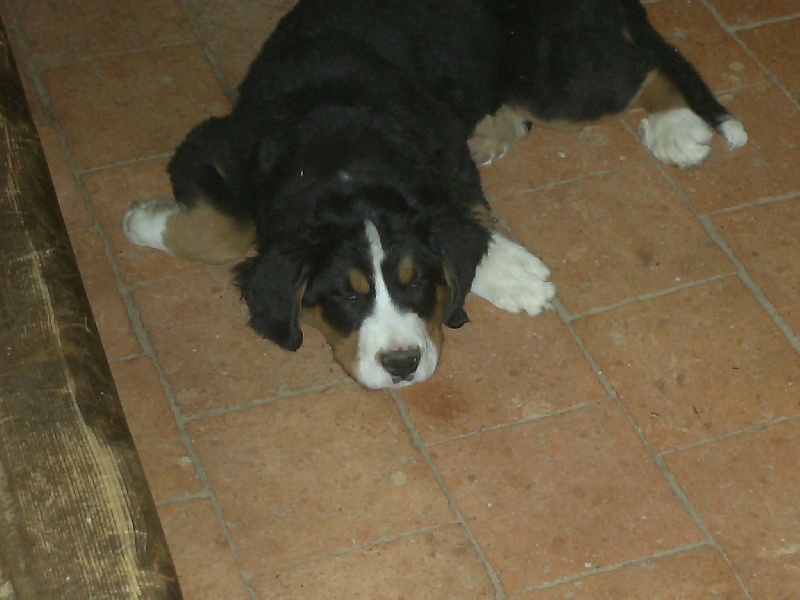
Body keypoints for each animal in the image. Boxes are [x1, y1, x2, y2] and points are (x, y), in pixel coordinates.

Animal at [122, 0, 748, 390]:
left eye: (417, 283)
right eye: (344, 296)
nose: (402, 364)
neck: (340, 155)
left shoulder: (441, 151)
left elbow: (462, 219)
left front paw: (511, 273)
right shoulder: (215, 145)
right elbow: (221, 227)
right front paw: (147, 220)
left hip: (556, 81)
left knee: (643, 69)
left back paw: (676, 127)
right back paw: (495, 128)